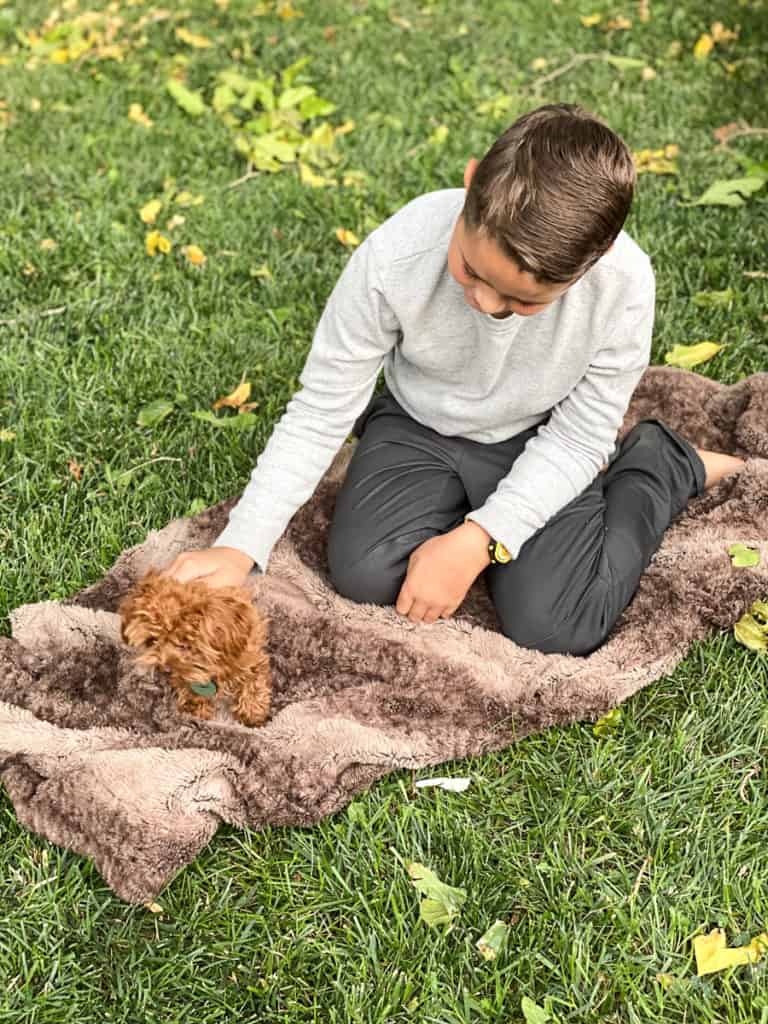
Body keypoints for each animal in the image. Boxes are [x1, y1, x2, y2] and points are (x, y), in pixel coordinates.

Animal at [120, 569, 274, 729]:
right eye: (151, 641)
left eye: (185, 645)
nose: (164, 670)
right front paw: (198, 708)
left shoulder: (250, 657)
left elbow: (254, 682)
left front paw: (252, 714)